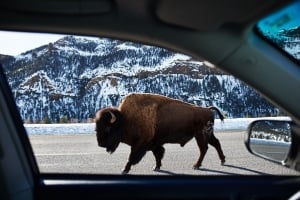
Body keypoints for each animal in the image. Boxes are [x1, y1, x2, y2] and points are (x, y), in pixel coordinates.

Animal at [96, 93, 225, 173]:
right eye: (97, 128)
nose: (100, 144)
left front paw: (124, 170)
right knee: (216, 143)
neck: (126, 119)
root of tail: (207, 109)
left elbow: (131, 157)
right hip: (208, 134)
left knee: (204, 149)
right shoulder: (154, 143)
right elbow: (158, 154)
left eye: (108, 128)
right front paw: (156, 167)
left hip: (201, 135)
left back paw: (196, 165)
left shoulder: (140, 144)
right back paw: (222, 161)